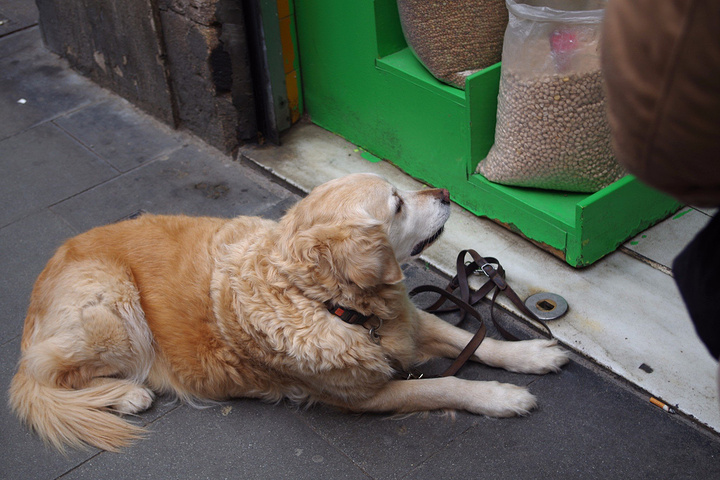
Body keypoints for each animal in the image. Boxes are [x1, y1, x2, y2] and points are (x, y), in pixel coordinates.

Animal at [7, 174, 568, 452]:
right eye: (397, 204)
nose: (449, 193)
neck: (330, 304)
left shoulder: (408, 320)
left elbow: (474, 340)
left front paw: (532, 356)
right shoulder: (364, 396)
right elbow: (443, 384)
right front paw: (501, 397)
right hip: (114, 306)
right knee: (46, 375)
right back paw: (126, 395)